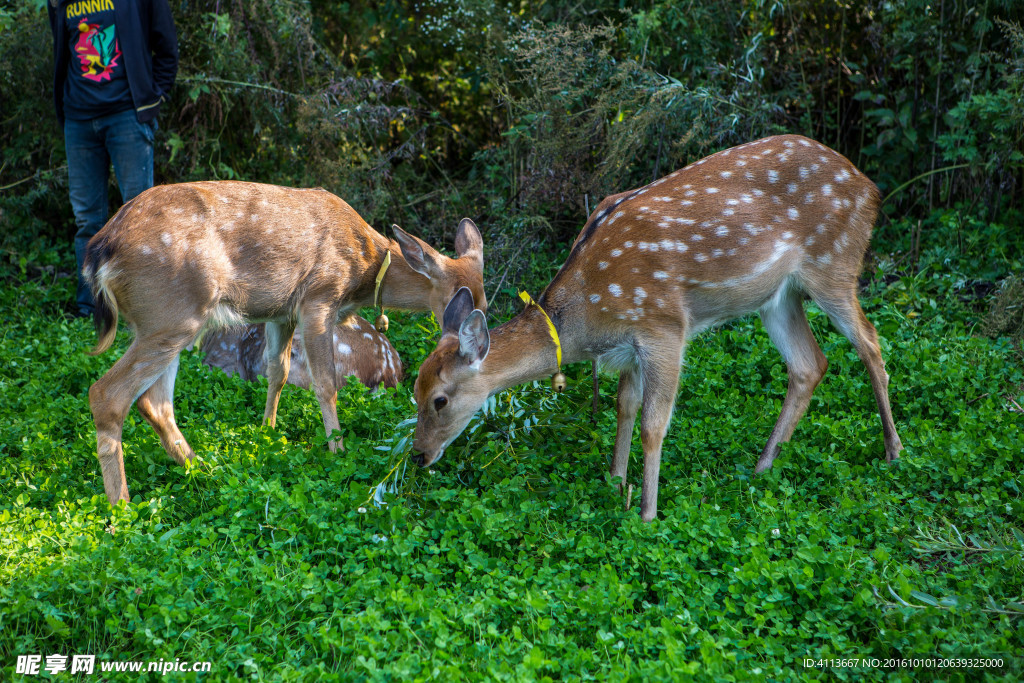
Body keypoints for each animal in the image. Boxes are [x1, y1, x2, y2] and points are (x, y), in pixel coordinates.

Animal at [409, 135, 905, 524]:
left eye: (440, 399)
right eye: (413, 390)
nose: (417, 455)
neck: (585, 318)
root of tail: (870, 186)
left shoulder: (662, 325)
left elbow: (653, 424)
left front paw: (646, 513)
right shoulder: (629, 347)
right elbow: (624, 406)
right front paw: (615, 483)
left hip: (834, 262)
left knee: (871, 343)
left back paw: (893, 451)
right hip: (778, 296)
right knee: (809, 364)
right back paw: (764, 465)